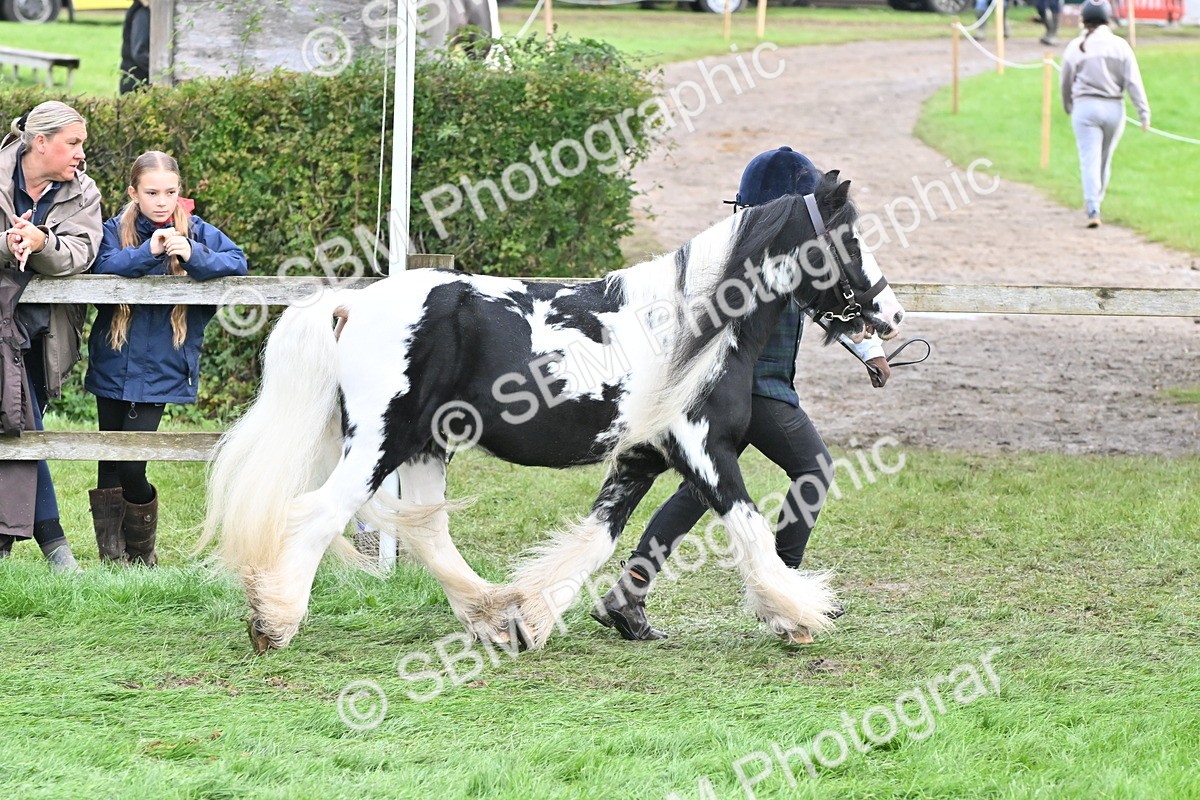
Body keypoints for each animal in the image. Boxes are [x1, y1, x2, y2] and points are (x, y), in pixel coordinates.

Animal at [200, 171, 906, 653]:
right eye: (849, 239)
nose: (893, 315)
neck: (696, 326)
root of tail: (350, 304)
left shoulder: (644, 456)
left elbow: (599, 537)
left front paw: (535, 614)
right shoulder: (704, 449)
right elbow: (751, 529)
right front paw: (798, 612)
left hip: (426, 445)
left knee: (429, 532)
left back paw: (493, 615)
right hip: (381, 442)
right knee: (319, 513)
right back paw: (275, 621)